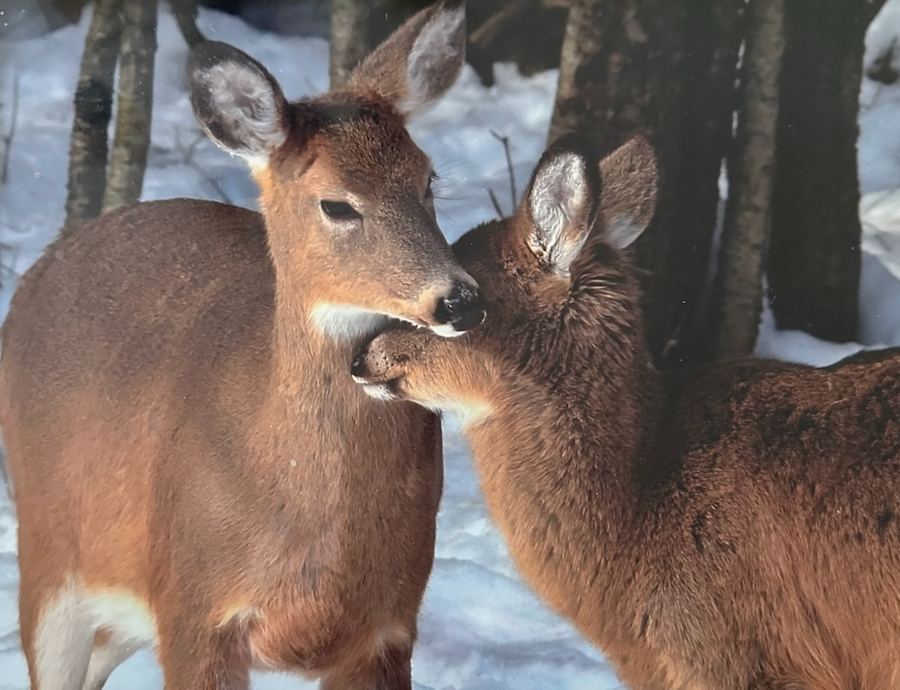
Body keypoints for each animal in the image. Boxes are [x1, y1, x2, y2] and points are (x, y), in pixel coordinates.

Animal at [0, 2, 487, 688]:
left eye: (428, 180)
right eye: (336, 204)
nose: (461, 300)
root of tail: (42, 267)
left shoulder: (388, 626)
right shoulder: (194, 608)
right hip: (51, 559)